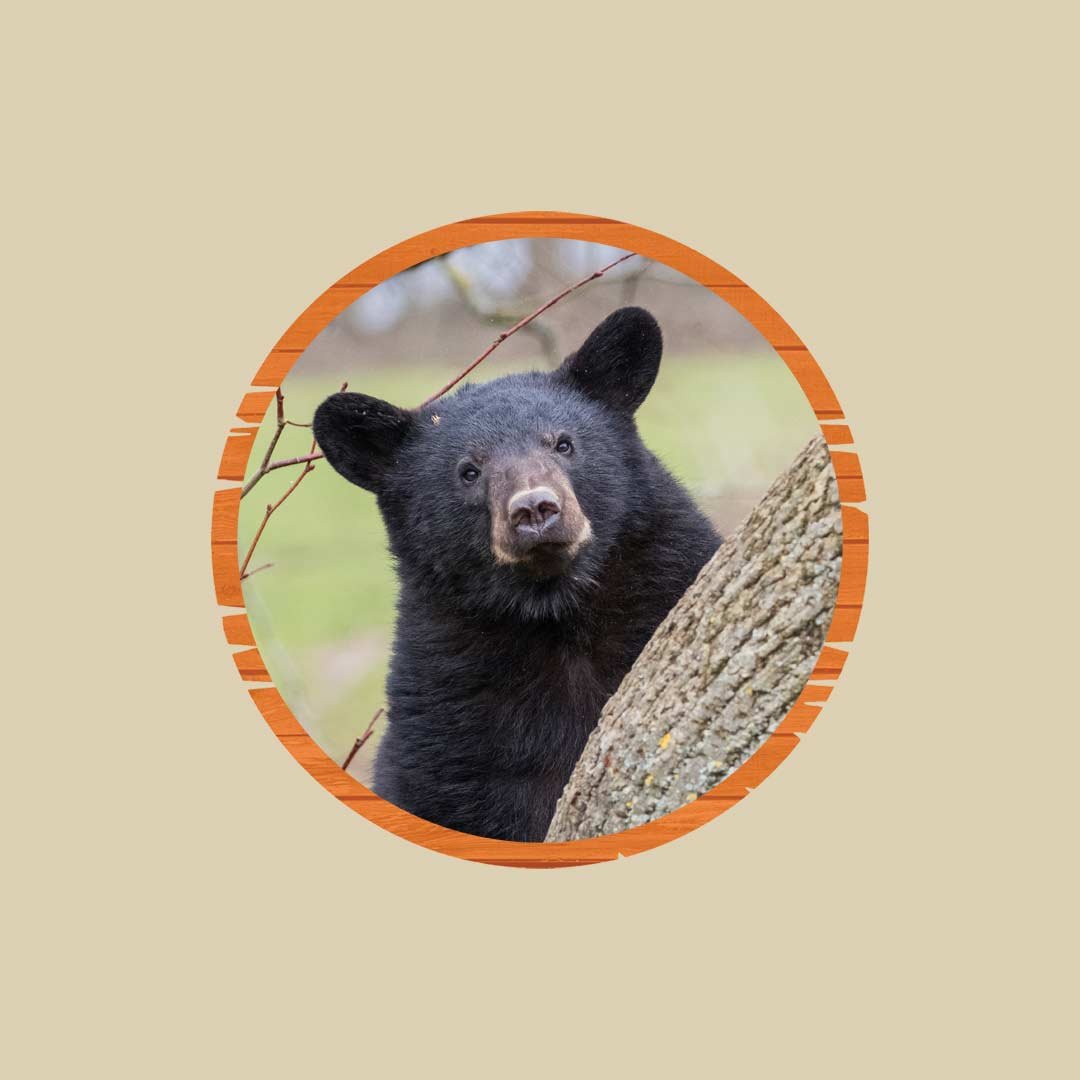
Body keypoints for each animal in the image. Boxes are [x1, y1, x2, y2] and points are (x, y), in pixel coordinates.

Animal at [313, 306, 721, 842]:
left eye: (564, 444)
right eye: (468, 471)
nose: (535, 509)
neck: (554, 610)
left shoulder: (670, 574)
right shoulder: (444, 713)